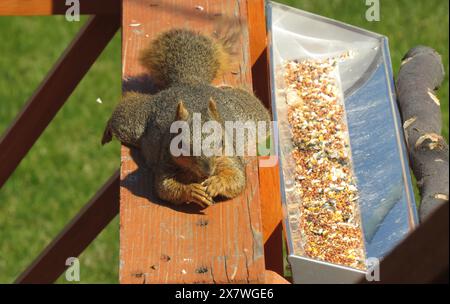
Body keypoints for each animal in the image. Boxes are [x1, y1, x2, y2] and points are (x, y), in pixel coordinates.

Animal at [102, 27, 270, 208]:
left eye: (222, 142)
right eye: (180, 145)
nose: (208, 171)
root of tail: (189, 81)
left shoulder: (230, 157)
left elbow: (237, 178)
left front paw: (216, 183)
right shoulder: (166, 160)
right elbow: (165, 187)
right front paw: (191, 191)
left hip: (250, 117)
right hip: (134, 122)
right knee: (123, 111)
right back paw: (107, 132)